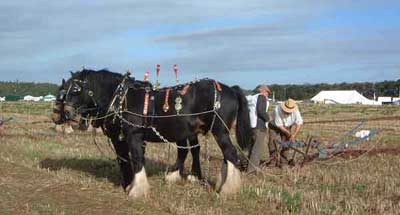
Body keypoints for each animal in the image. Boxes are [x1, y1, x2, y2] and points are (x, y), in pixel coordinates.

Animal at [52, 69, 253, 198]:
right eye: (64, 90)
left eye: (76, 90)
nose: (64, 114)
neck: (121, 99)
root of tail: (231, 89)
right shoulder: (122, 138)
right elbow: (124, 159)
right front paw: (128, 185)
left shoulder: (133, 136)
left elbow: (137, 159)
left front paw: (136, 190)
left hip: (219, 130)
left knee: (230, 153)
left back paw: (227, 189)